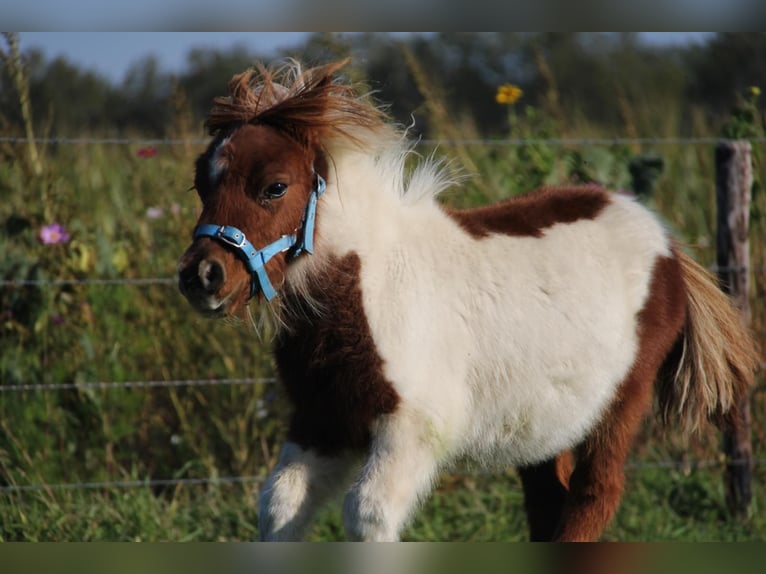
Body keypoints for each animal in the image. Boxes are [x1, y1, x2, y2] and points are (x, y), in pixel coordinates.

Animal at [177, 60, 760, 544]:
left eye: (274, 187)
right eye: (201, 183)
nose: (202, 276)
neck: (370, 292)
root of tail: (668, 245)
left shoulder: (411, 428)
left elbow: (367, 516)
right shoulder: (321, 419)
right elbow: (279, 506)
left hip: (619, 403)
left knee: (596, 496)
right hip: (543, 421)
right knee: (549, 503)